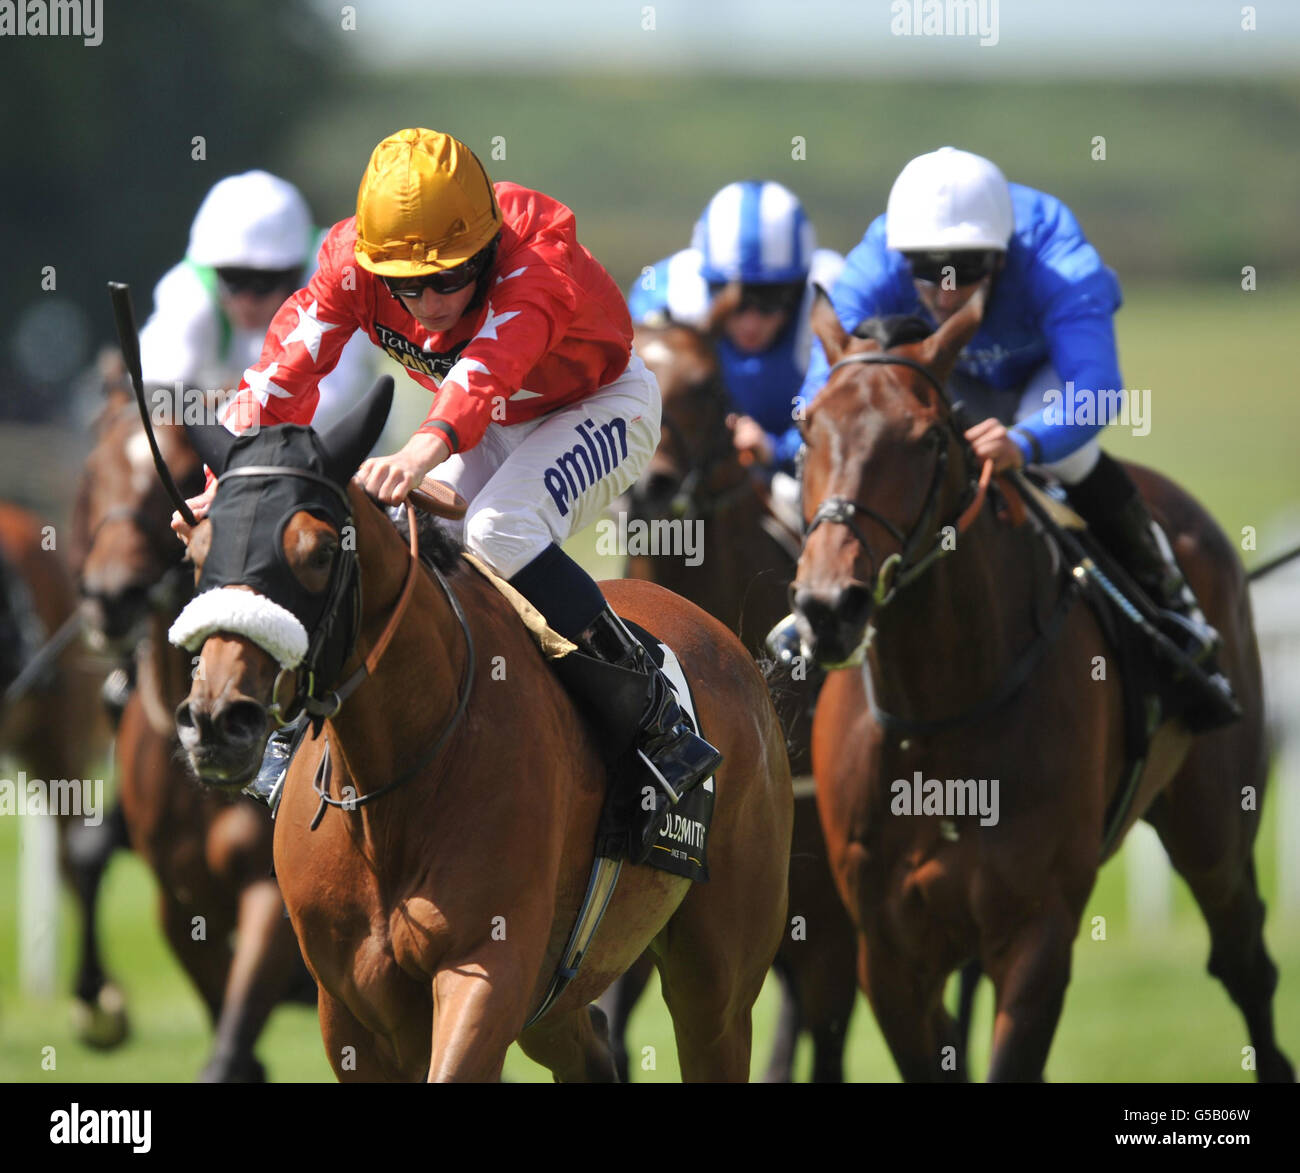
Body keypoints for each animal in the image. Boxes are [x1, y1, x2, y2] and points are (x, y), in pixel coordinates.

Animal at [170, 382, 780, 1087]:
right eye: (196, 552)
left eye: (318, 553)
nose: (218, 720)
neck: (393, 791)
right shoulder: (351, 1012)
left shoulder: (486, 973)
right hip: (559, 1001)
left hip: (715, 982)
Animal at [790, 291, 1289, 1081]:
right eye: (807, 428)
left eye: (929, 437)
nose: (828, 606)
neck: (939, 718)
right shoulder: (890, 954)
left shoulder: (1036, 933)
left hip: (1215, 826)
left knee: (1245, 963)